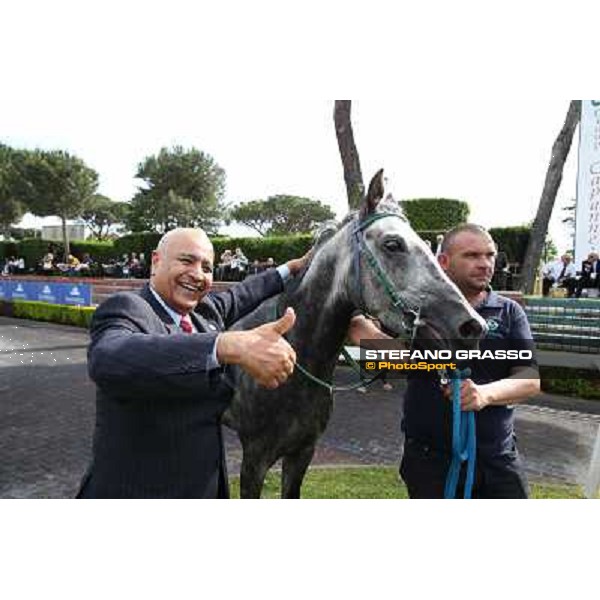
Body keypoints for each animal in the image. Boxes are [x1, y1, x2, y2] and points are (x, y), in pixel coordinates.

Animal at [223, 169, 486, 496]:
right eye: (393, 244)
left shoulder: (302, 453)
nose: (472, 326)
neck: (292, 358)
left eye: (429, 247)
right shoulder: (254, 462)